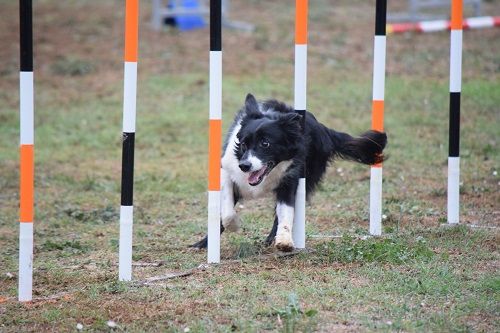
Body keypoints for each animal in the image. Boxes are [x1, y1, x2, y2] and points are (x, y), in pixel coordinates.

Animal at [191, 93, 386, 249]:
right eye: (244, 143)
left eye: (265, 143)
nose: (245, 166)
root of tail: (322, 128)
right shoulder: (227, 171)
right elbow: (227, 210)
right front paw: (232, 226)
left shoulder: (290, 180)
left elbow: (285, 213)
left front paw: (284, 240)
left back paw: (271, 239)